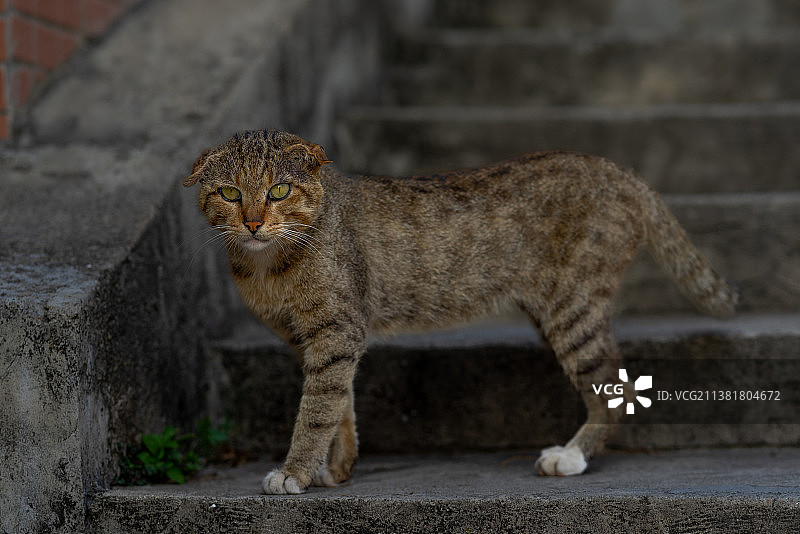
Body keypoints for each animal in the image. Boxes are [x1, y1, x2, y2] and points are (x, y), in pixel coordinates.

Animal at [183, 127, 736, 496]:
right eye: (229, 193)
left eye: (279, 190)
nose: (253, 223)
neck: (267, 265)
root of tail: (618, 169)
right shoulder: (313, 339)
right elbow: (340, 405)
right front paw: (335, 469)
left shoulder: (335, 330)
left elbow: (316, 409)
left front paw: (294, 472)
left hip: (572, 306)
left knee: (613, 386)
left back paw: (572, 456)